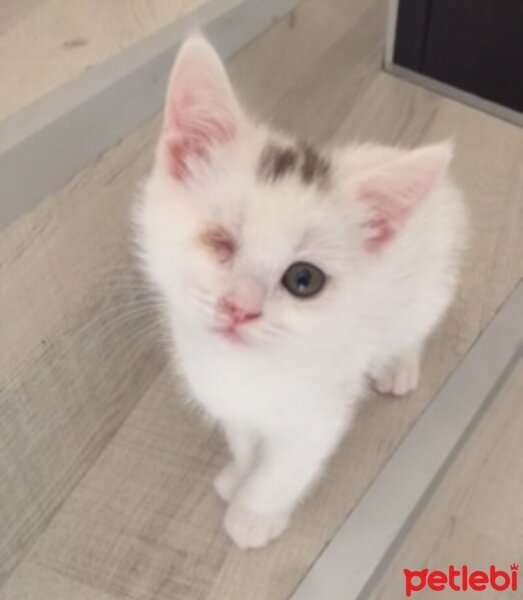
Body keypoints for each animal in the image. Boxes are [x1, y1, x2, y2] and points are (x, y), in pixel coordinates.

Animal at [135, 34, 466, 548]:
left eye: (303, 280)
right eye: (218, 242)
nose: (240, 308)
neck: (246, 368)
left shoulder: (320, 414)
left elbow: (285, 469)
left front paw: (254, 513)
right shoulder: (229, 403)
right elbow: (245, 441)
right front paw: (239, 474)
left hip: (430, 285)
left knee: (413, 327)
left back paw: (398, 365)